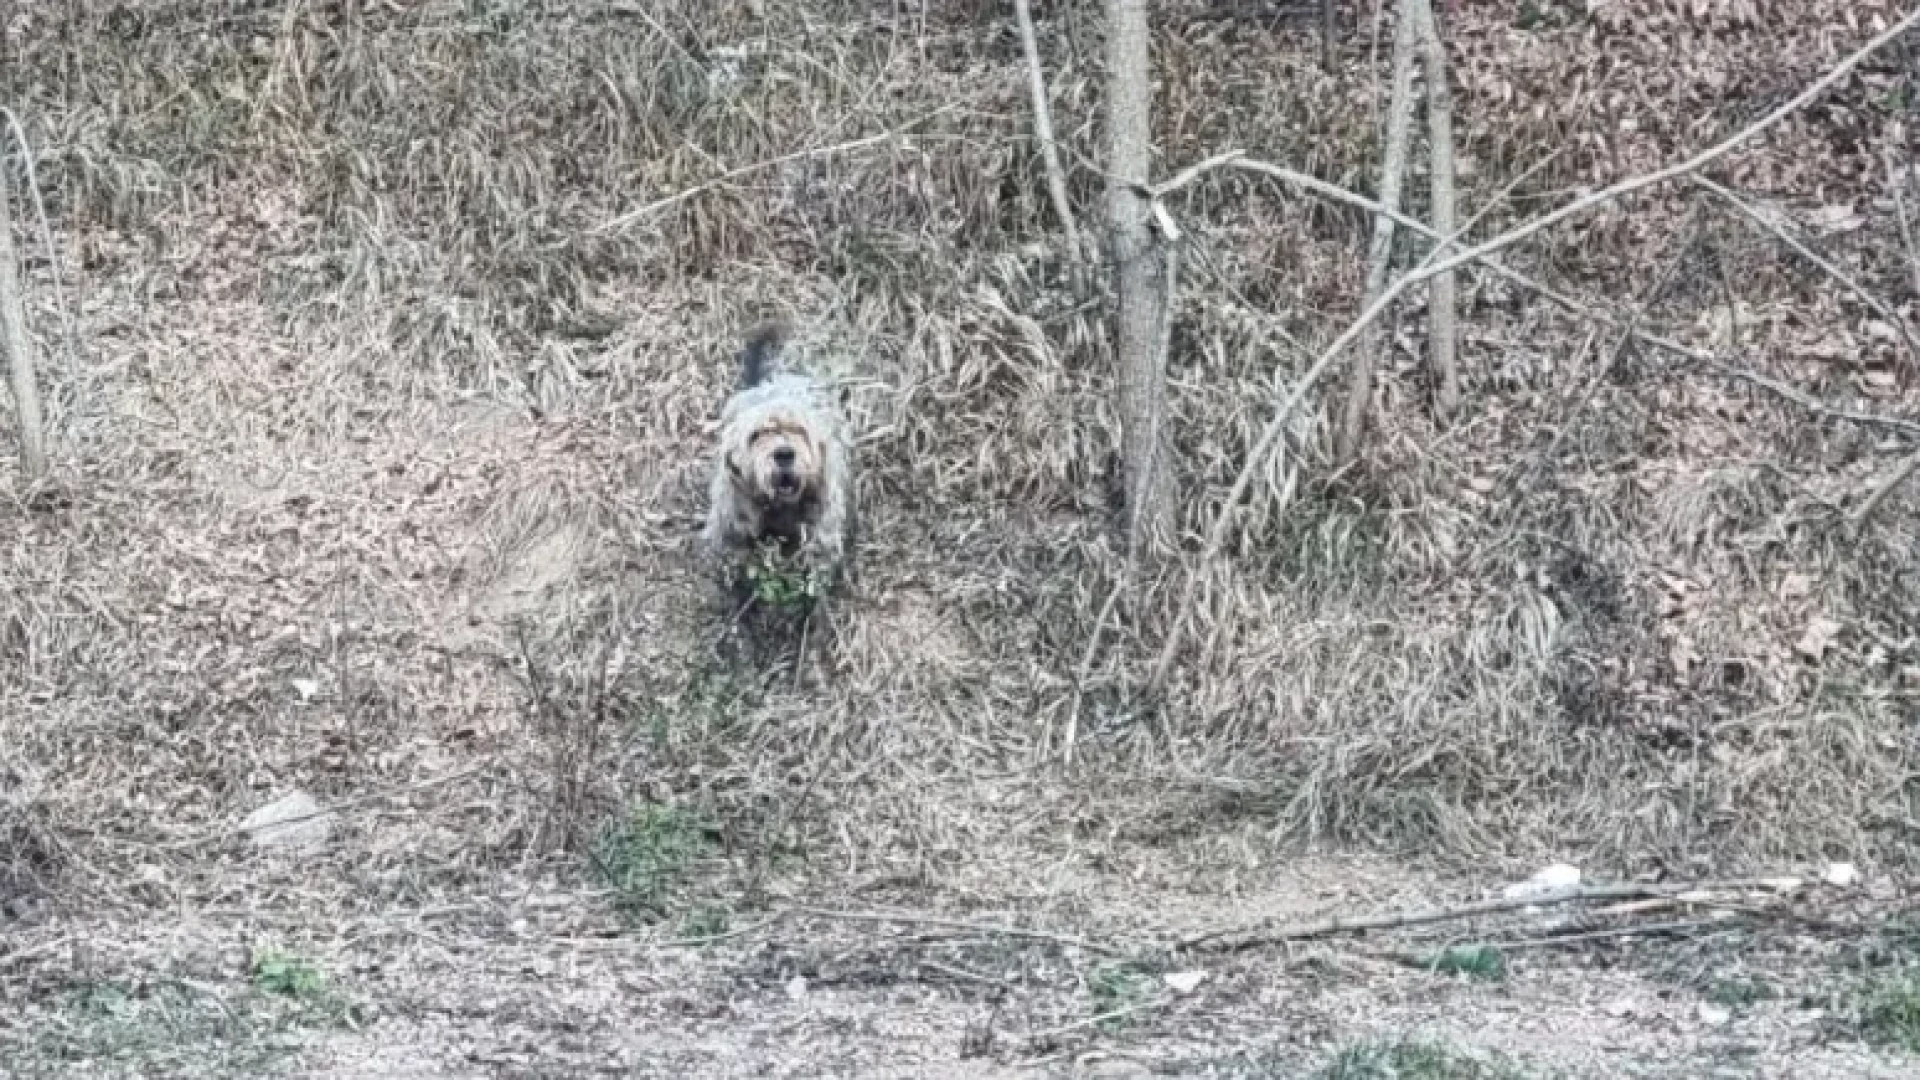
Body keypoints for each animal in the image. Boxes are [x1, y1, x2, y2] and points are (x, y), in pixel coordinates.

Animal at [698, 319, 856, 591]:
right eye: (756, 435)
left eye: (799, 430)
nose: (784, 453)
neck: (780, 509)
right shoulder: (732, 528)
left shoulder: (821, 536)